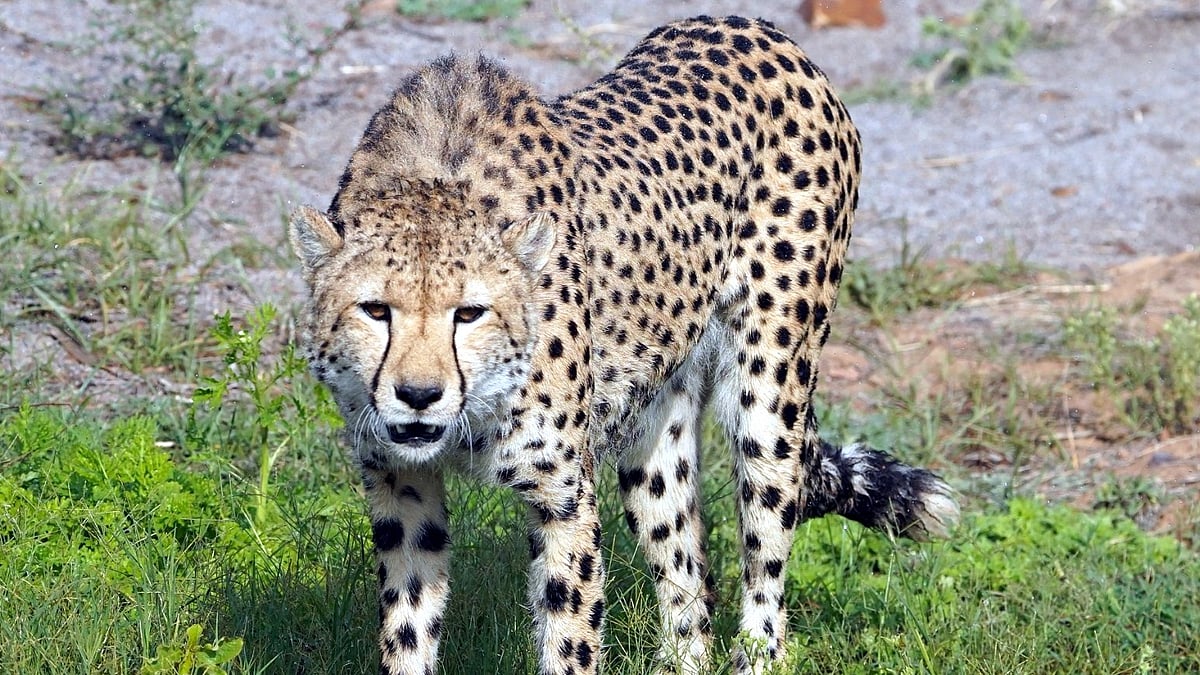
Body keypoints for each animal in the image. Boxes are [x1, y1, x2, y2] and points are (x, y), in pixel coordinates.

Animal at [289, 15, 958, 675]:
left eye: (470, 313)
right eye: (376, 310)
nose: (419, 395)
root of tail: (756, 27)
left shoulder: (562, 495)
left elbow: (569, 633)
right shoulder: (401, 484)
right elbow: (408, 627)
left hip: (770, 399)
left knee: (766, 571)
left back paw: (759, 648)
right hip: (653, 432)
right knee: (689, 586)